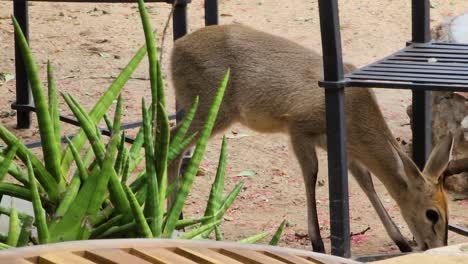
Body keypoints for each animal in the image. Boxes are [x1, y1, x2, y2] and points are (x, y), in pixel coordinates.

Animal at [168, 25, 454, 254]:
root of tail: (176, 48)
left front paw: (401, 242)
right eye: (432, 214)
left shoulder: (345, 149)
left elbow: (366, 183)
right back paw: (170, 219)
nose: (435, 246)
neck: (354, 111)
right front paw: (318, 244)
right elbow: (312, 176)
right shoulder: (298, 129)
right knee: (172, 144)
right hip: (211, 110)